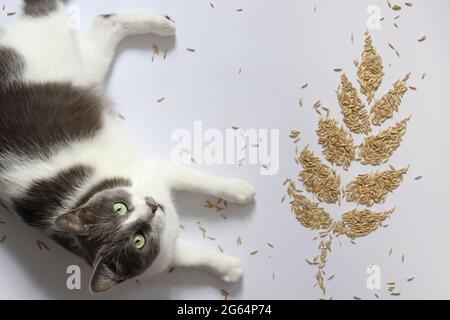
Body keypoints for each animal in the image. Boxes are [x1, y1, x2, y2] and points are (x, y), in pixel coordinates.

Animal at [0, 0, 255, 294]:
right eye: (138, 240)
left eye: (119, 207)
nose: (151, 209)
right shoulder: (161, 254)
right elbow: (188, 256)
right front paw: (228, 268)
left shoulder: (153, 170)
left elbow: (200, 180)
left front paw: (239, 190)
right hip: (86, 65)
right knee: (104, 22)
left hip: (66, 59)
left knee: (101, 18)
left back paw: (162, 23)